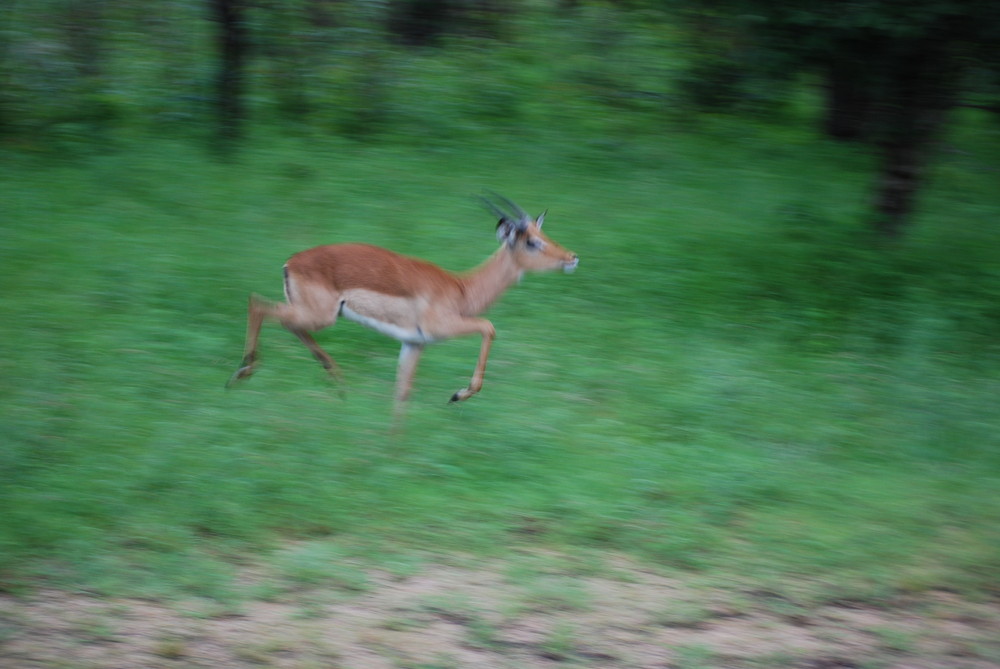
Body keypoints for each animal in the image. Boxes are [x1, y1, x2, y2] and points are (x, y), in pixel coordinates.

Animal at [228, 193, 584, 410]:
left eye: (546, 235)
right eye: (533, 242)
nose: (573, 257)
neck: (461, 288)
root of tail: (291, 262)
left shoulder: (414, 343)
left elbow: (402, 393)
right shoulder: (439, 327)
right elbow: (489, 327)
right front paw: (458, 395)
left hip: (316, 315)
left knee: (277, 316)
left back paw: (337, 382)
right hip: (320, 315)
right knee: (258, 305)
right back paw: (243, 373)